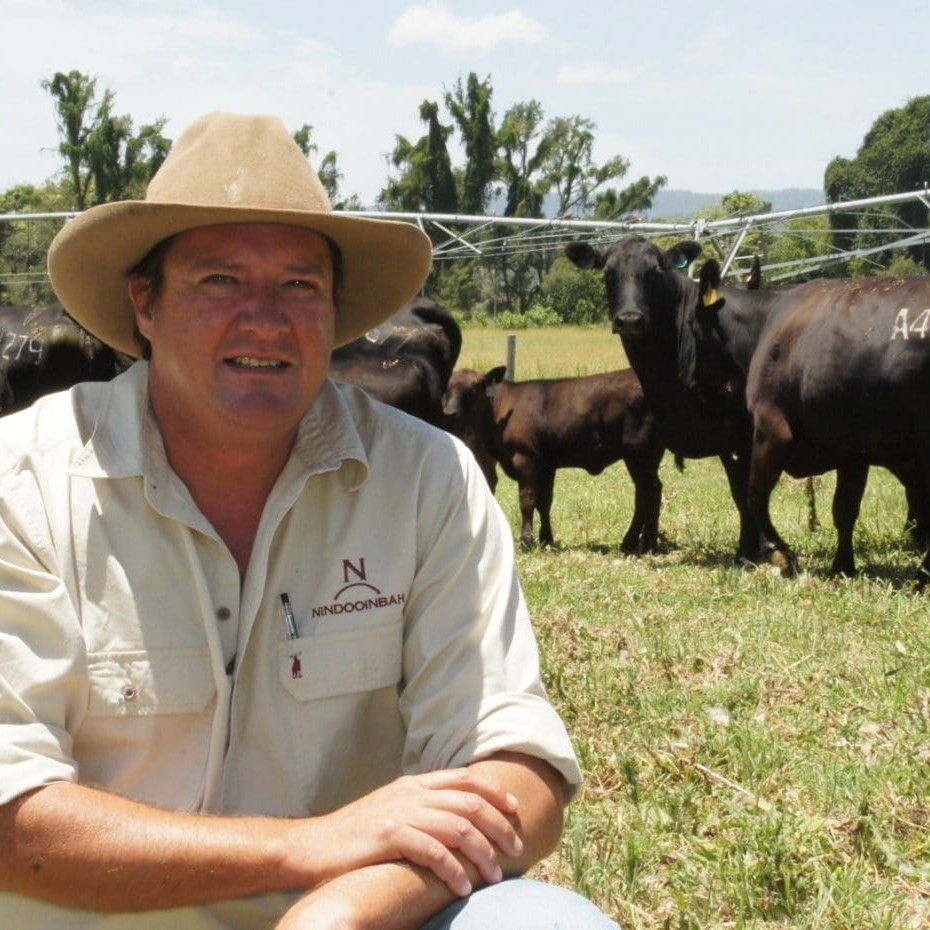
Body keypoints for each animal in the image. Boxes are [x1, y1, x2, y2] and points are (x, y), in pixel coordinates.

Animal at [442, 364, 668, 552]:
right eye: (447, 389)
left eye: (474, 389)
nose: (449, 413)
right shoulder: (546, 465)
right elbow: (544, 502)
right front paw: (546, 539)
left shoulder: (525, 458)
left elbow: (527, 500)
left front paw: (527, 541)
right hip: (648, 455)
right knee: (646, 492)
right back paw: (637, 542)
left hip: (639, 453)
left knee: (649, 491)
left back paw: (644, 543)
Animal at [564, 234, 928, 580]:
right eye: (608, 274)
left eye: (655, 271)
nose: (629, 319)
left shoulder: (747, 435)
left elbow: (747, 495)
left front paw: (750, 553)